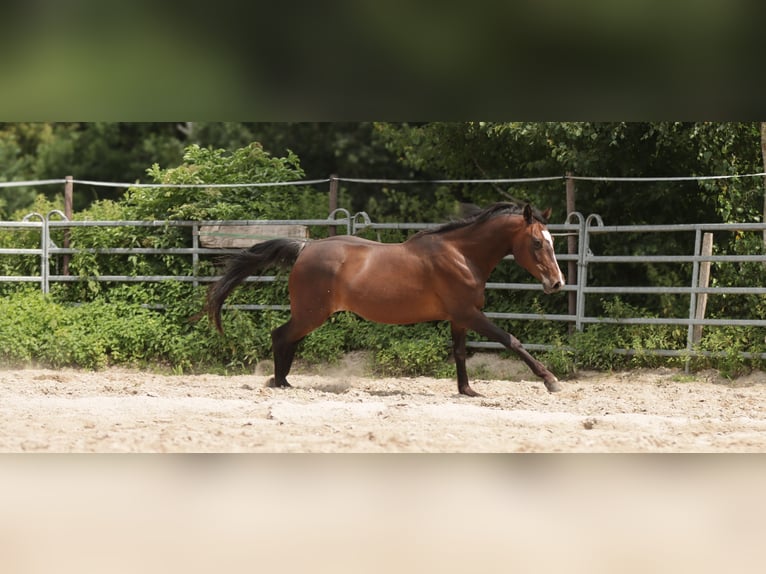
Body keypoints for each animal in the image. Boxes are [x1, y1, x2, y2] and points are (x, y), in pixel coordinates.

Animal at [204, 202, 565, 396]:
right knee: (280, 335)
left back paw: (283, 381)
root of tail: (305, 248)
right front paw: (551, 381)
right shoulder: (470, 314)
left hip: (309, 314)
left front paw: (467, 390)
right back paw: (280, 382)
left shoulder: (459, 318)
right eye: (537, 243)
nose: (557, 283)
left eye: (552, 241)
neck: (461, 255)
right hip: (311, 313)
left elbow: (461, 354)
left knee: (287, 339)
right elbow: (512, 340)